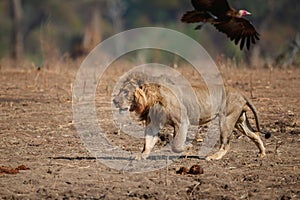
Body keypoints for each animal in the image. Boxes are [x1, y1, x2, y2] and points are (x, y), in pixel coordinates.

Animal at [112, 72, 270, 160]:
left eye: (125, 92)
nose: (114, 101)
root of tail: (241, 93)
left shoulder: (182, 122)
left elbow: (176, 144)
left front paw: (187, 148)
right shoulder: (153, 124)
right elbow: (148, 142)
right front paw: (142, 155)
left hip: (226, 120)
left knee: (226, 144)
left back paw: (213, 157)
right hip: (239, 121)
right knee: (255, 135)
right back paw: (262, 153)